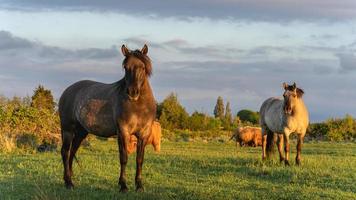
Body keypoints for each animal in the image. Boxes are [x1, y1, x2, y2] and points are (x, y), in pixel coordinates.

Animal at [58, 44, 156, 192]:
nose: (132, 92)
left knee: (72, 152)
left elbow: (140, 160)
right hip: (68, 130)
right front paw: (123, 186)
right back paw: (69, 183)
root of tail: (67, 91)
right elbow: (124, 158)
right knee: (65, 152)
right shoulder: (123, 132)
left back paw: (69, 179)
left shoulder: (144, 134)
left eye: (142, 67)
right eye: (125, 67)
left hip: (81, 132)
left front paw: (139, 186)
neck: (139, 107)